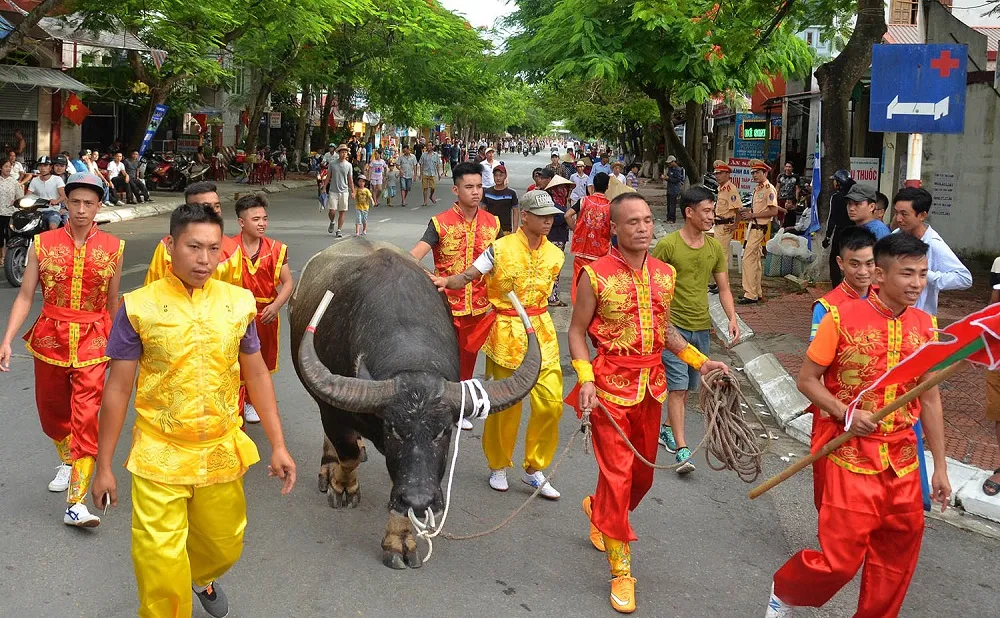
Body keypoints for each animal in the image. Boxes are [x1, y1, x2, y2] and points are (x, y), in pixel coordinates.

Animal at [290, 239, 540, 568]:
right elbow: (348, 455)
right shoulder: (334, 411)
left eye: (443, 432)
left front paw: (399, 540)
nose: (421, 499)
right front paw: (343, 487)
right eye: (394, 430)